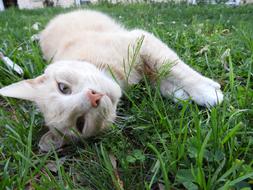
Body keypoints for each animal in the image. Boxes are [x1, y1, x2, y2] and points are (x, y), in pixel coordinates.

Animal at [0, 9, 222, 151]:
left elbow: (175, 68)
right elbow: (163, 80)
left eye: (63, 88)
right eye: (80, 123)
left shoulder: (142, 41)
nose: (94, 97)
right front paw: (184, 95)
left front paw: (207, 91)